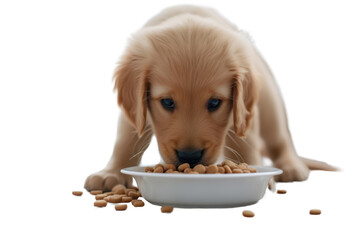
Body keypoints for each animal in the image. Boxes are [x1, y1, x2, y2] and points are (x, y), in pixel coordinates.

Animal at [83, 4, 334, 191]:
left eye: (214, 103)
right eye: (167, 102)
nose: (190, 156)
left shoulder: (243, 115)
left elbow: (246, 144)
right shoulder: (137, 110)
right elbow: (126, 141)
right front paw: (111, 173)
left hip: (270, 101)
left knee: (280, 138)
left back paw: (292, 165)